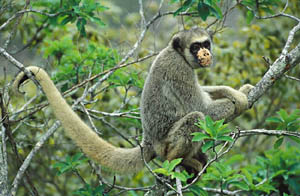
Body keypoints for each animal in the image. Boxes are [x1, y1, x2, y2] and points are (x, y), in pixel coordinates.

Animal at [13, 26, 253, 175]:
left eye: (206, 44)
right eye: (195, 47)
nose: (205, 53)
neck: (175, 53)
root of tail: (149, 141)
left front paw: (237, 91)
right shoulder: (179, 69)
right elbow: (201, 108)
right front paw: (237, 102)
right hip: (166, 144)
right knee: (195, 117)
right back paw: (179, 159)